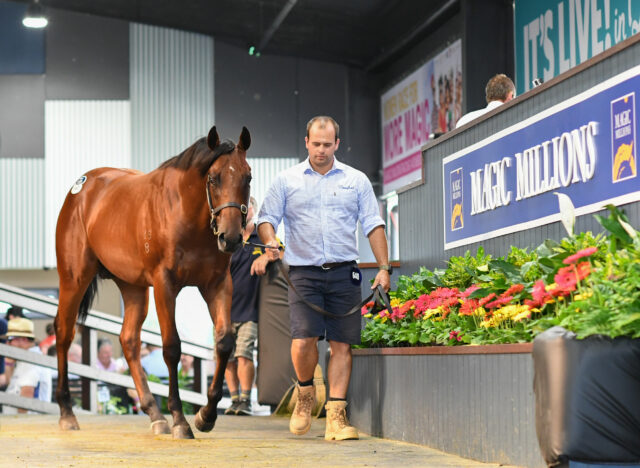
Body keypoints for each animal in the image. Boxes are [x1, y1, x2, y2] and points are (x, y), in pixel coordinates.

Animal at [54, 125, 252, 438]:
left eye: (248, 177)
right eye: (213, 177)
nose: (230, 237)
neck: (184, 213)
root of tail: (81, 188)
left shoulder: (218, 285)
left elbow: (223, 343)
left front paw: (205, 415)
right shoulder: (164, 285)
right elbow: (171, 347)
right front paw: (181, 420)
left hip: (133, 287)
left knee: (129, 340)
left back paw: (154, 414)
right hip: (74, 278)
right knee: (64, 332)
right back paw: (67, 412)